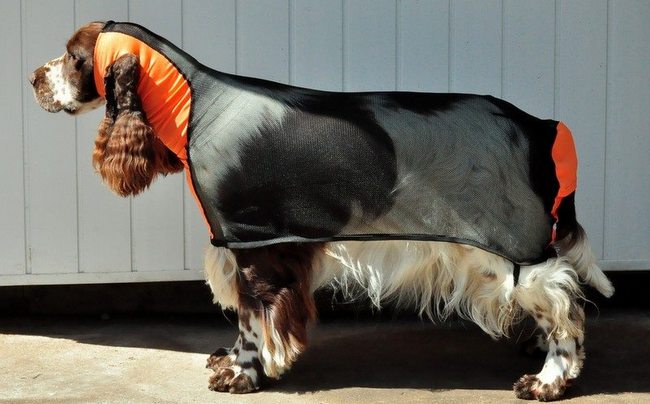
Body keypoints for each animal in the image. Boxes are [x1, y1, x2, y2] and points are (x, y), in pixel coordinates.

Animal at [30, 21, 614, 400]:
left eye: (74, 56)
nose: (34, 78)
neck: (195, 104)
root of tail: (544, 129)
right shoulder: (248, 246)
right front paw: (234, 362)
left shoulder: (253, 246)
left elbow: (252, 319)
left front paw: (243, 375)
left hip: (515, 250)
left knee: (566, 312)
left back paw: (548, 379)